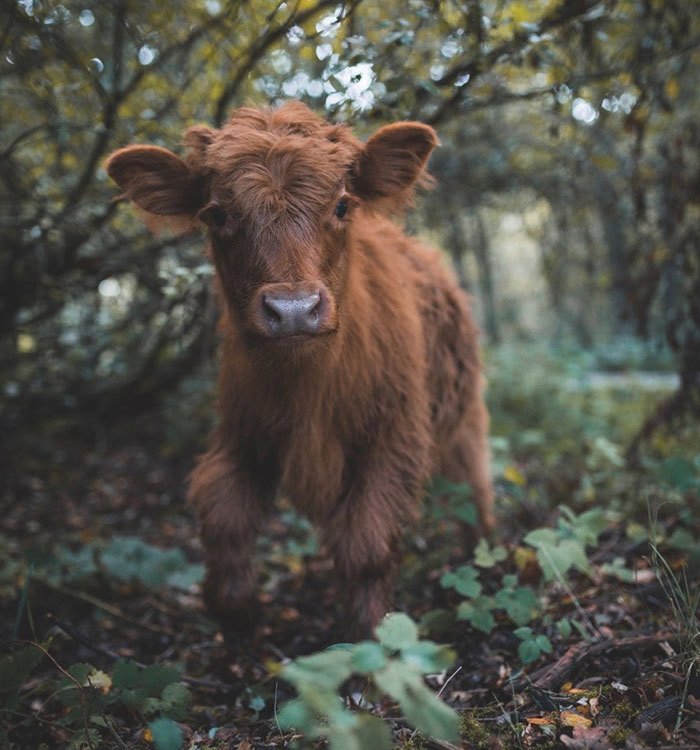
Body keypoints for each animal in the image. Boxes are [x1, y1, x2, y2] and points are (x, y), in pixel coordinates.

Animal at [106, 101, 494, 640]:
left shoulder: (394, 441)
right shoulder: (240, 434)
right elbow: (223, 515)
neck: (307, 386)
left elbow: (367, 544)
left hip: (465, 418)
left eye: (342, 206)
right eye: (218, 214)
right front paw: (236, 615)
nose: (293, 309)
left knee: (476, 487)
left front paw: (371, 639)